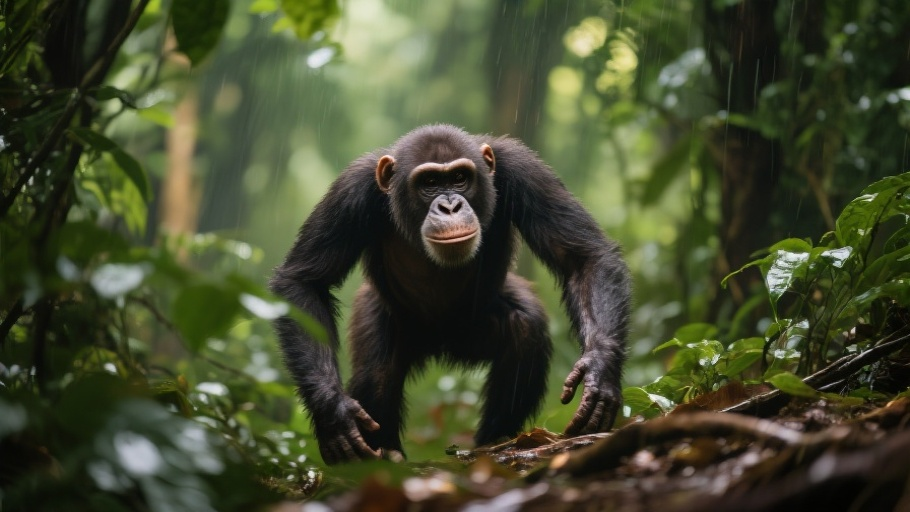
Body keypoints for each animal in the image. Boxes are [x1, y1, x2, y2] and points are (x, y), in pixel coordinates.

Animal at [270, 124, 631, 464]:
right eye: (429, 182)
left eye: (459, 178)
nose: (449, 205)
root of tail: (441, 345)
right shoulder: (350, 191)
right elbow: (304, 281)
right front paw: (334, 414)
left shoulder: (524, 170)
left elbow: (583, 258)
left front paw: (599, 373)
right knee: (377, 369)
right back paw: (385, 454)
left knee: (524, 328)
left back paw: (496, 442)